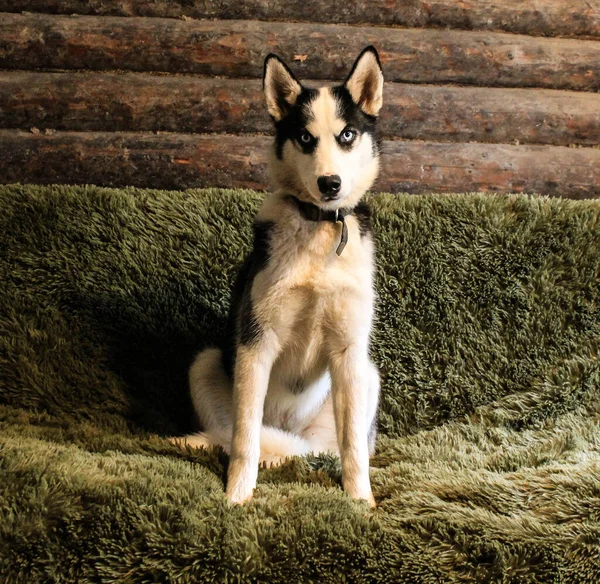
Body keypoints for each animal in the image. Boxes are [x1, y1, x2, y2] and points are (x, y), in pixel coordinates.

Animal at [175, 46, 384, 506]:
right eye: (305, 138)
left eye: (347, 135)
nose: (330, 183)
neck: (318, 232)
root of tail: (296, 445)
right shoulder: (256, 344)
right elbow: (245, 438)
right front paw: (237, 496)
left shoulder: (349, 350)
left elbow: (354, 448)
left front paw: (361, 502)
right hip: (206, 361)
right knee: (229, 433)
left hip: (367, 375)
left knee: (337, 444)